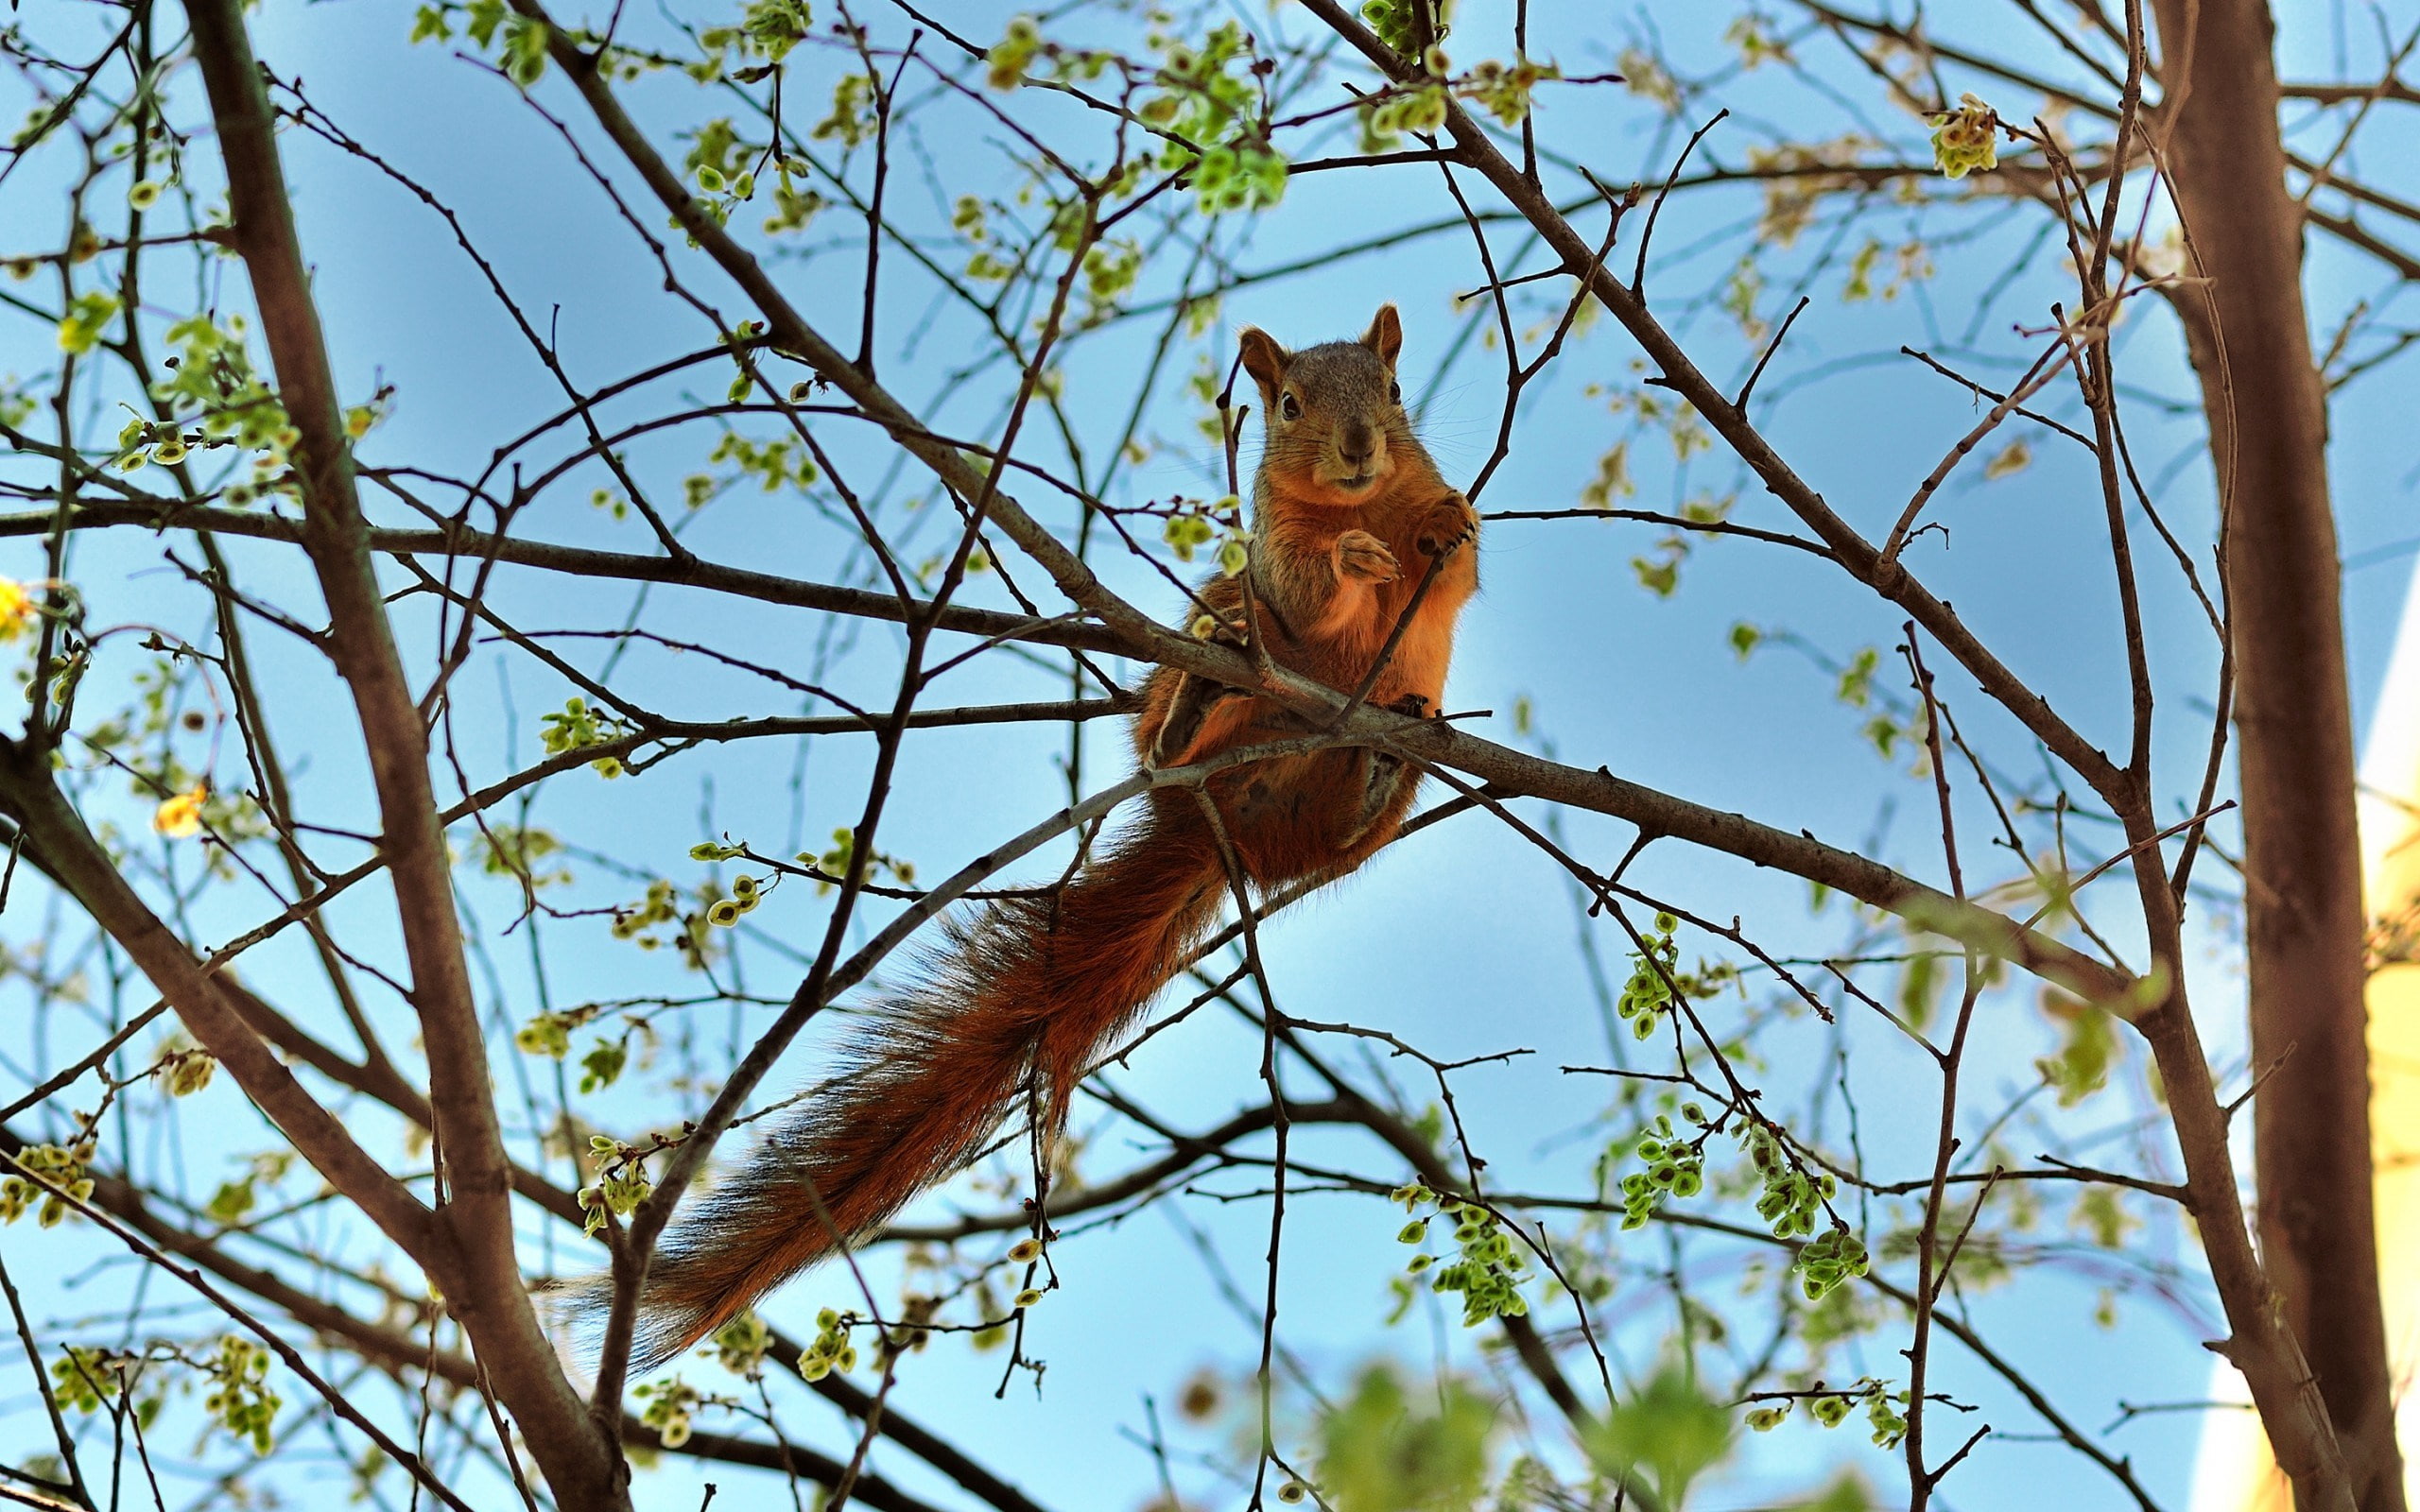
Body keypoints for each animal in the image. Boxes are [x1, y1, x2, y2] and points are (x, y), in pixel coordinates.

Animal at [616, 304, 1480, 1369]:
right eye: (1286, 406)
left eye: (1394, 394)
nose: (1359, 449)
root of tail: (1219, 825)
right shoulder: (1271, 551)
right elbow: (1309, 588)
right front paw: (1356, 559)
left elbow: (1453, 574)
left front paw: (1441, 527)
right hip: (1205, 638)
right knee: (1197, 685)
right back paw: (1197, 707)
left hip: (1375, 787)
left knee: (1354, 812)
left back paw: (1372, 774)